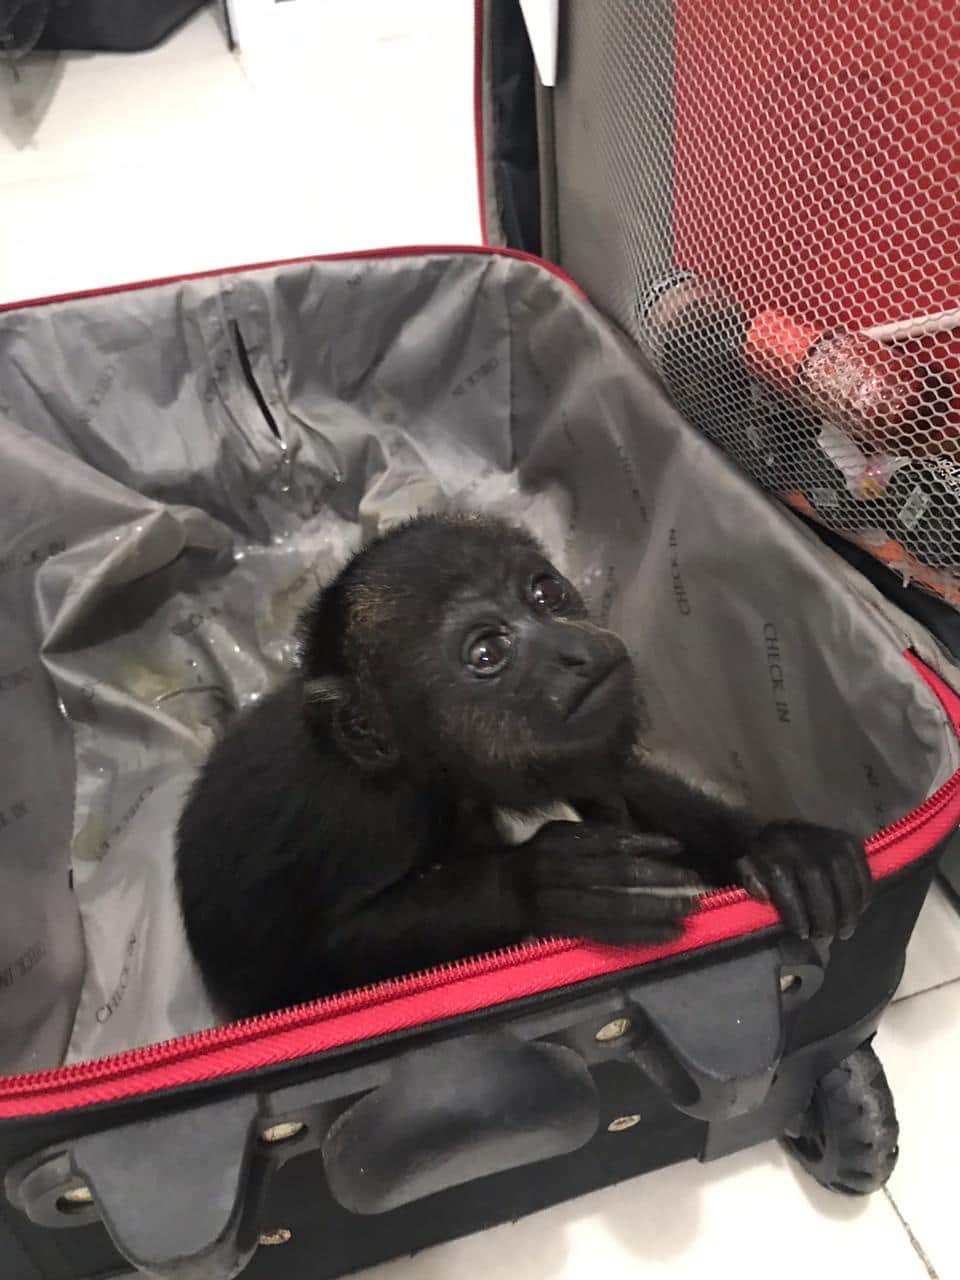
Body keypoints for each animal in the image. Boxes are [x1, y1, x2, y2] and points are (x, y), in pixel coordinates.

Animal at [175, 514, 871, 1021]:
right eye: (488, 652)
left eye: (545, 592)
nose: (575, 652)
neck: (428, 766)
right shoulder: (366, 813)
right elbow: (309, 971)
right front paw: (545, 881)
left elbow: (608, 777)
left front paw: (781, 849)